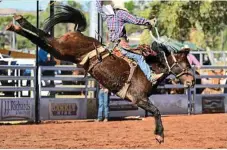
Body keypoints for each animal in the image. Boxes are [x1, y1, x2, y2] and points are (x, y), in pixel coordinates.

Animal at [5, 4, 195, 144]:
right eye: (186, 64)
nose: (192, 81)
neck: (152, 67)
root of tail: (77, 32)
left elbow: (156, 111)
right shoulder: (138, 98)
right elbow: (156, 111)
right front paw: (159, 136)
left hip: (60, 52)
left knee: (42, 39)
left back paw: (15, 25)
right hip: (61, 48)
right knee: (45, 36)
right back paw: (17, 22)